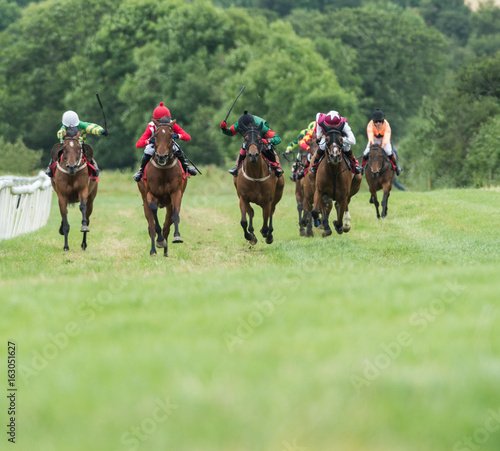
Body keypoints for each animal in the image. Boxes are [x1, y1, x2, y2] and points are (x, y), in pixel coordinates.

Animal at [137, 117, 188, 258]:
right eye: (156, 135)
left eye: (171, 135)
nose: (161, 156)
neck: (164, 170)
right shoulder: (151, 195)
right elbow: (155, 222)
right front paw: (159, 241)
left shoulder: (176, 193)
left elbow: (174, 217)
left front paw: (177, 236)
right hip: (144, 200)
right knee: (151, 226)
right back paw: (154, 250)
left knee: (167, 226)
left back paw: (165, 252)